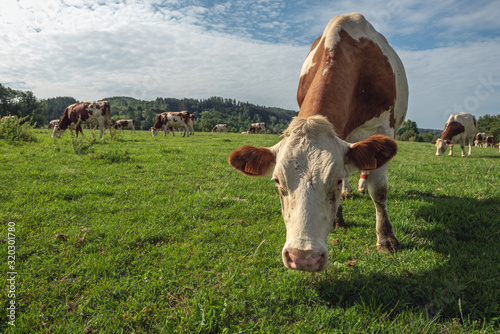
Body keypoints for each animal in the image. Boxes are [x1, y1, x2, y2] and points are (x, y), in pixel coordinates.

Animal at [229, 13, 408, 274]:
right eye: (277, 181)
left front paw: (386, 238)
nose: (304, 257)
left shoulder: (385, 129)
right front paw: (338, 219)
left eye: (336, 180)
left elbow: (379, 190)